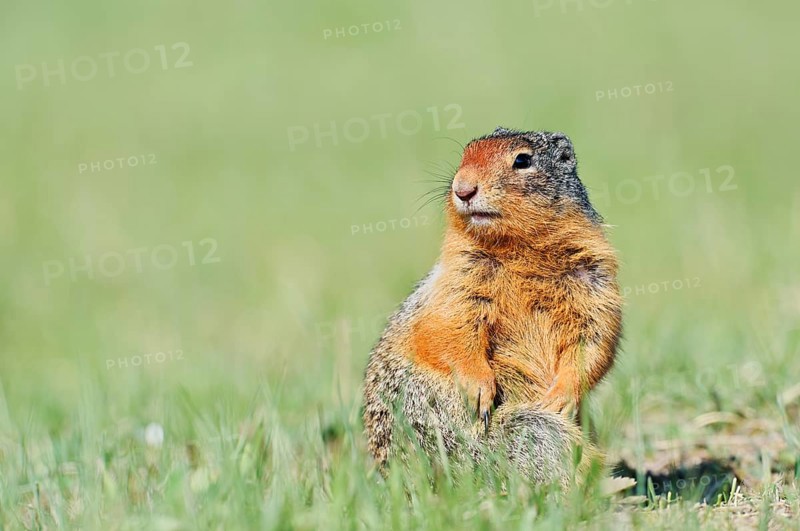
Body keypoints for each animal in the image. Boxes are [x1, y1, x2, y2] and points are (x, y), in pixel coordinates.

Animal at [362, 128, 622, 485]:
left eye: (522, 160)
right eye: (465, 154)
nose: (462, 189)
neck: (518, 248)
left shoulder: (594, 280)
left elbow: (593, 337)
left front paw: (560, 397)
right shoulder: (458, 282)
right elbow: (451, 329)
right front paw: (480, 391)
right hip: (519, 431)